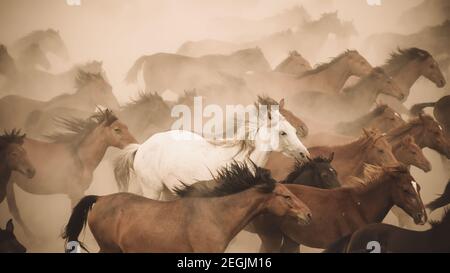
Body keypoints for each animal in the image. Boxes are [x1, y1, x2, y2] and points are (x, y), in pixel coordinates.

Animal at [6, 108, 137, 236]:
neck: (80, 158)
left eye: (126, 127)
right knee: (14, 210)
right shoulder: (75, 193)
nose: (135, 144)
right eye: (117, 129)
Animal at [114, 98, 310, 198]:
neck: (239, 161)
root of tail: (141, 147)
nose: (304, 154)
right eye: (283, 132)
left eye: (293, 130)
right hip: (152, 189)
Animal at [251, 164, 428, 251]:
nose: (422, 216)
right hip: (271, 238)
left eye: (419, 187)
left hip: (291, 241)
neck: (359, 207)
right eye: (405, 189)